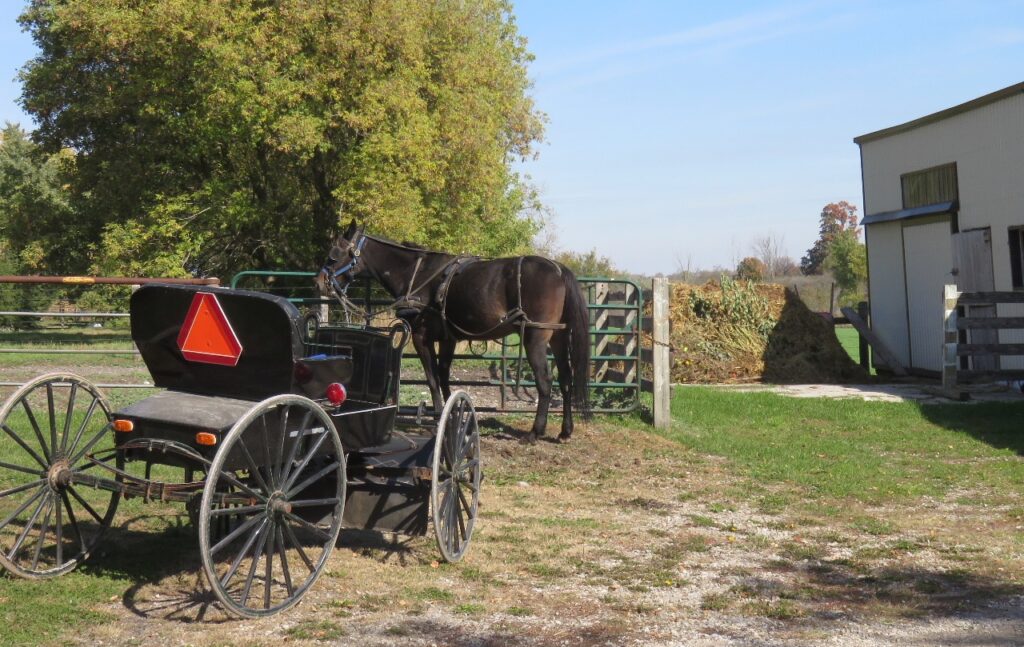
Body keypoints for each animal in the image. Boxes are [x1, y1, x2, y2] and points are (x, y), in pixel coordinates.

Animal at [311, 220, 589, 442]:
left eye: (334, 254)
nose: (319, 282)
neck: (416, 274)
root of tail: (558, 269)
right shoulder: (448, 339)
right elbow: (444, 375)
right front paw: (454, 414)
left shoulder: (421, 337)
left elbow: (432, 378)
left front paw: (437, 418)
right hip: (558, 337)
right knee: (566, 379)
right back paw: (565, 431)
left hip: (535, 337)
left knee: (545, 382)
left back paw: (534, 432)